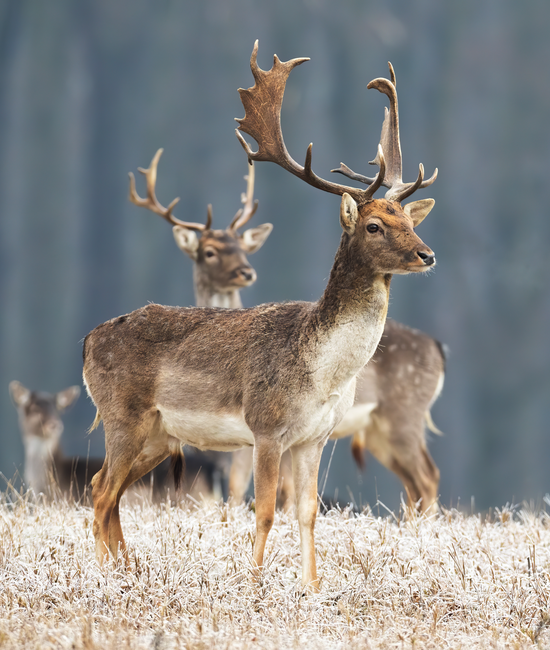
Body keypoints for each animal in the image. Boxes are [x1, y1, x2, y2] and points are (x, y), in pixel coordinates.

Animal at [83, 39, 440, 588]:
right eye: (375, 225)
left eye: (408, 218)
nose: (427, 254)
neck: (323, 373)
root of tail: (86, 341)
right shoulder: (266, 426)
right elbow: (266, 510)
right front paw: (254, 583)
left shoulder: (315, 437)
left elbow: (308, 512)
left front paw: (311, 587)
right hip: (123, 414)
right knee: (101, 490)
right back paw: (111, 578)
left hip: (161, 436)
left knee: (110, 491)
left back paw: (128, 572)